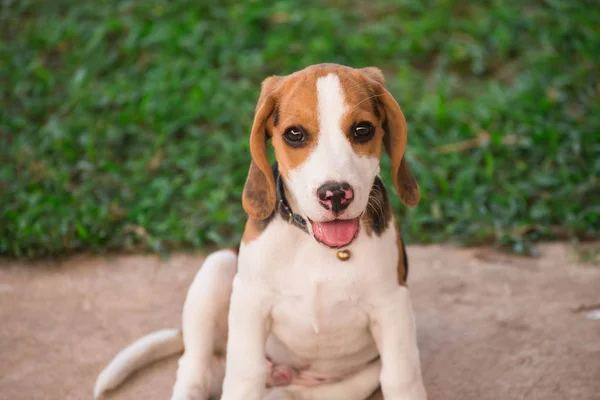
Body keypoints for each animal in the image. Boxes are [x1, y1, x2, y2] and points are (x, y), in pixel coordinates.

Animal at [95, 64, 426, 398]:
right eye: (295, 134)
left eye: (362, 130)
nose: (335, 194)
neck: (315, 245)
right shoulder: (249, 301)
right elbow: (244, 374)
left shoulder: (393, 306)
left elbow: (401, 377)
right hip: (218, 267)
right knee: (194, 367)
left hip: (345, 384)